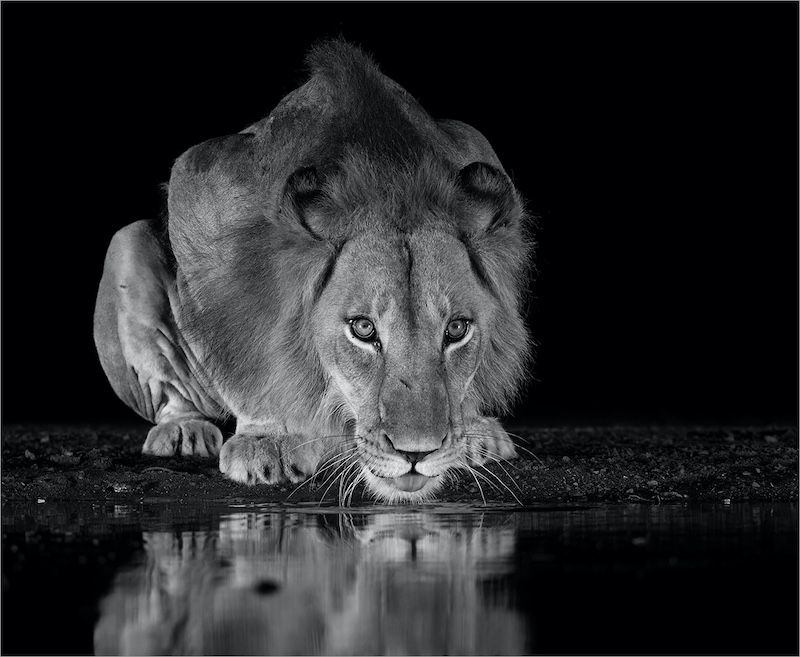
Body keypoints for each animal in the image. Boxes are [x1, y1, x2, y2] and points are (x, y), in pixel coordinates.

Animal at [93, 39, 533, 502]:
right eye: (362, 329)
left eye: (456, 329)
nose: (418, 452)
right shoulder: (200, 182)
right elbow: (243, 344)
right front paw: (269, 439)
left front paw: (473, 428)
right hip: (126, 242)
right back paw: (183, 430)